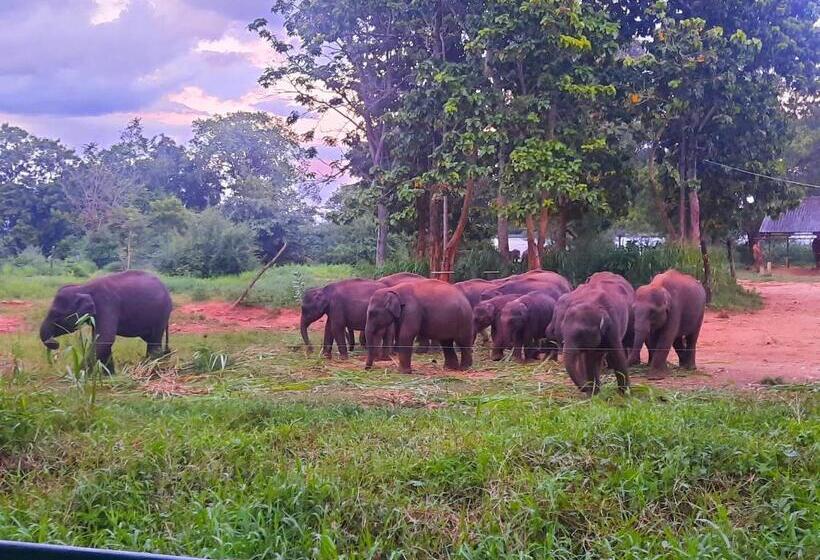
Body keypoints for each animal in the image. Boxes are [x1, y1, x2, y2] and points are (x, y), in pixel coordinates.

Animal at [39, 270, 172, 373]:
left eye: (57, 315)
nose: (55, 343)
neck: (83, 287)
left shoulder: (106, 305)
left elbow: (104, 339)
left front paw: (78, 374)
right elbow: (100, 339)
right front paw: (110, 376)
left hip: (161, 314)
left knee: (154, 341)